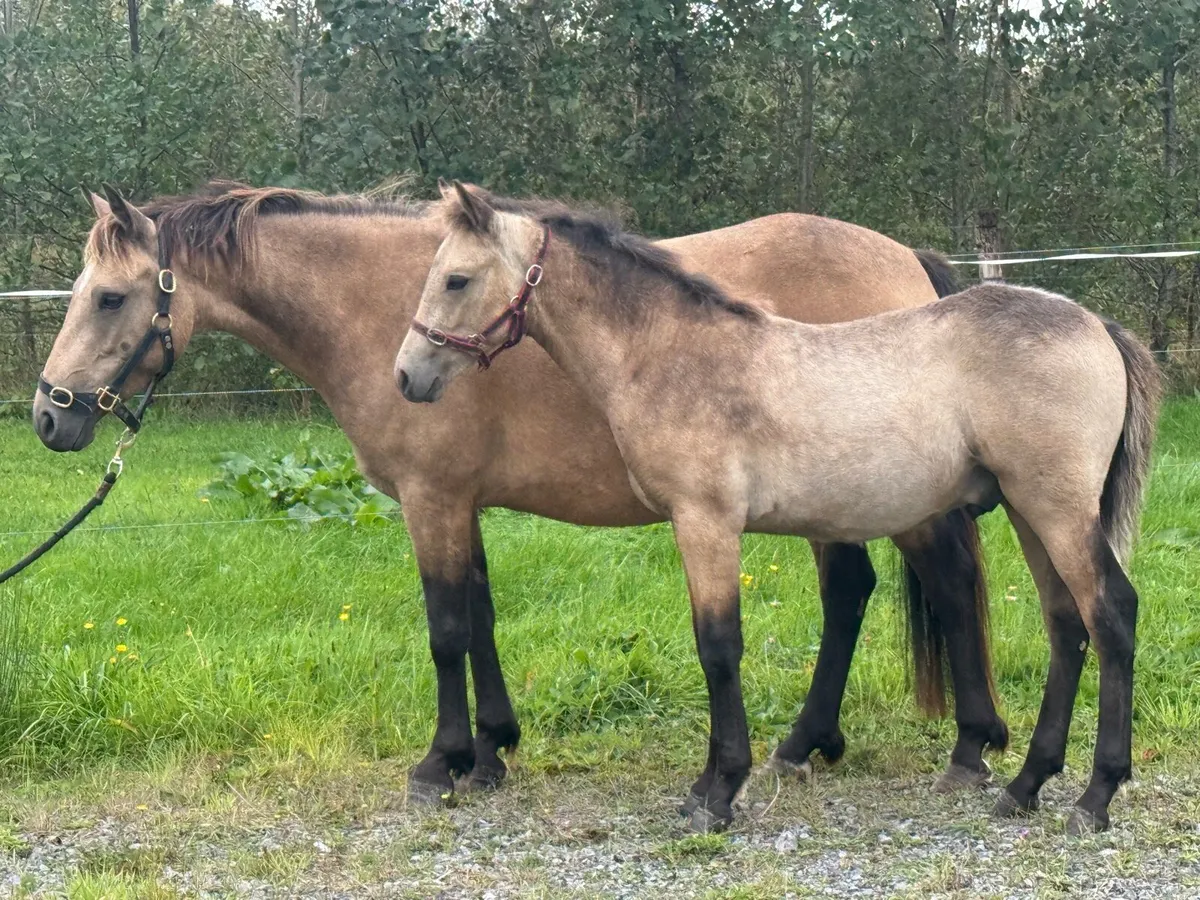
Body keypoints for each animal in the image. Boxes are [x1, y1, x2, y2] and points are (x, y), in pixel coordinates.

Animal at [33, 181, 1005, 811]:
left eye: (110, 297)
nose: (51, 414)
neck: (377, 307)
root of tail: (909, 263)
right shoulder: (461, 502)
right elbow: (481, 616)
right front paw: (493, 750)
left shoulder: (429, 499)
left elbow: (445, 628)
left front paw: (443, 764)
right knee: (851, 595)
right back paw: (808, 746)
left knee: (947, 587)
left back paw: (969, 746)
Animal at [395, 182, 1160, 835]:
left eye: (456, 279)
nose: (407, 377)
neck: (672, 355)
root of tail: (1099, 327)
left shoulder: (705, 521)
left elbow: (718, 648)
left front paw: (716, 794)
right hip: (1033, 514)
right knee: (1066, 625)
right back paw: (1025, 785)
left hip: (1055, 510)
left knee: (1112, 613)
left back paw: (1093, 797)